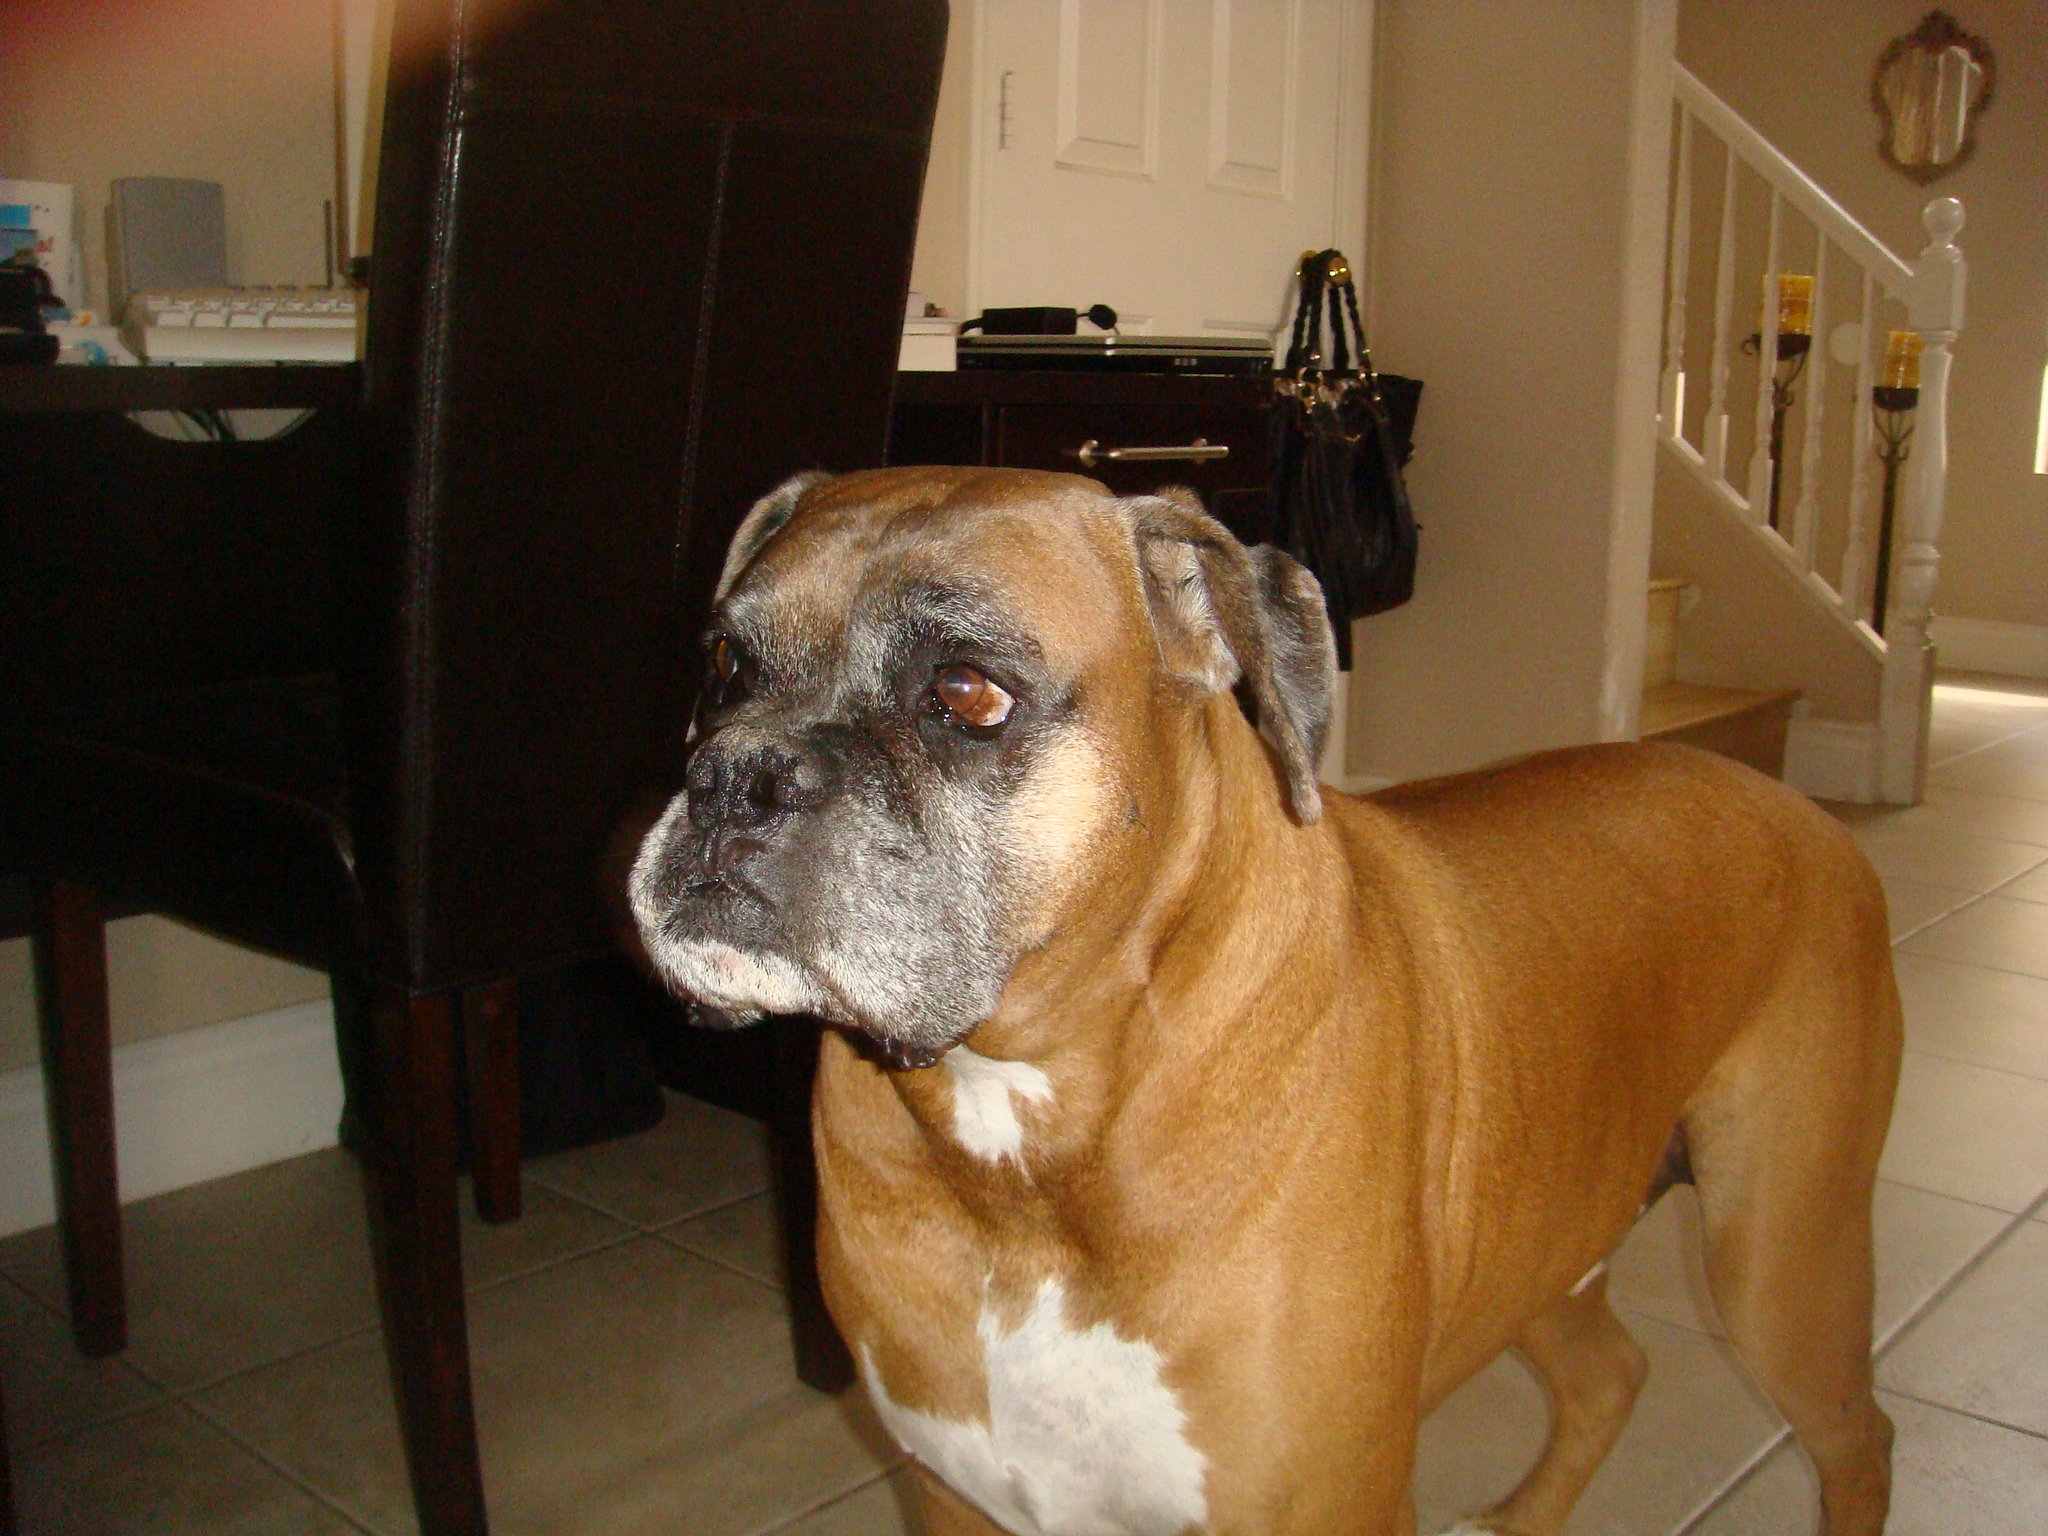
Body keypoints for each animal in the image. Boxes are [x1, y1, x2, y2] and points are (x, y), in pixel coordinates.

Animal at [630, 465, 1901, 1536]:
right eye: (723, 668)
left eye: (966, 692)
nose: (734, 777)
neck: (1025, 1142)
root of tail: (1790, 804)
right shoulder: (955, 1496)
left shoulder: (1319, 1506)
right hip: (1554, 1231)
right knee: (1608, 1377)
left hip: (1777, 1264)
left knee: (1857, 1438)